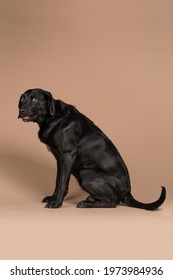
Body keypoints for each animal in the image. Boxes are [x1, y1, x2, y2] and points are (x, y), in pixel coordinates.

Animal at [17, 88, 166, 209]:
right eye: (22, 99)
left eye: (35, 99)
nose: (21, 111)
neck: (53, 117)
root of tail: (127, 192)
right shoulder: (59, 160)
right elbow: (58, 181)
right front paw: (53, 198)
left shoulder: (67, 155)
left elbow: (62, 183)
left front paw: (56, 203)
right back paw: (91, 199)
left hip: (86, 174)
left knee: (113, 202)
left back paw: (86, 204)